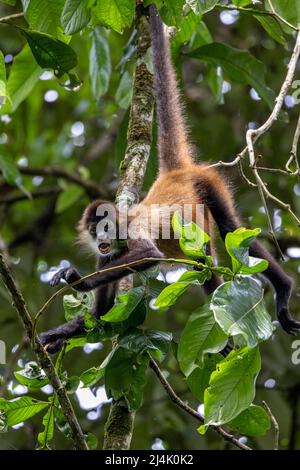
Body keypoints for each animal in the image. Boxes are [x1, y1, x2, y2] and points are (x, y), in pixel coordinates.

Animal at [40, 5, 300, 352]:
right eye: (96, 230)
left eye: (107, 225)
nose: (102, 238)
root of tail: (174, 173)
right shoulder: (108, 255)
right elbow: (102, 314)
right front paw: (56, 335)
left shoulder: (132, 230)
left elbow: (149, 254)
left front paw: (73, 279)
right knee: (206, 262)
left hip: (208, 184)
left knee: (230, 232)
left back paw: (282, 290)